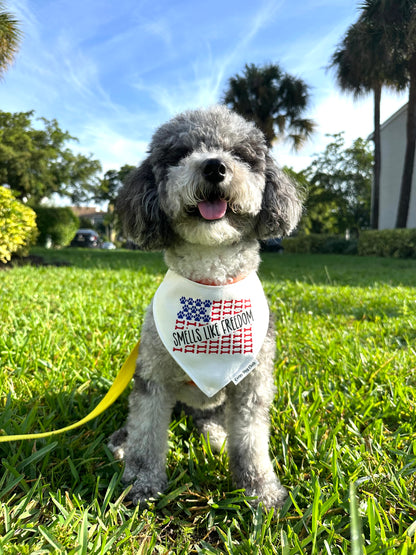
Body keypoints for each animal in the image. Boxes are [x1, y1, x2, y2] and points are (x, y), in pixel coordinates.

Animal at [109, 106, 300, 510]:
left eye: (240, 155)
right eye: (181, 153)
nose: (214, 166)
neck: (211, 285)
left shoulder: (252, 387)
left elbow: (251, 443)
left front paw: (261, 492)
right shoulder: (153, 380)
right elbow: (146, 437)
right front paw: (141, 486)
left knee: (210, 419)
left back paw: (216, 437)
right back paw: (120, 443)